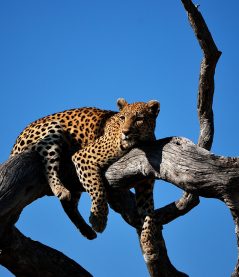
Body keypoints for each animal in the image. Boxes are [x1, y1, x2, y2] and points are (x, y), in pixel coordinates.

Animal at [11, 98, 161, 238]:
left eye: (139, 119)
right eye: (122, 118)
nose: (125, 132)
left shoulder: (145, 182)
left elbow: (148, 209)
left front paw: (148, 241)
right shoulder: (83, 157)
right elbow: (97, 188)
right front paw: (98, 220)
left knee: (69, 205)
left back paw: (86, 230)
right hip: (52, 130)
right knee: (48, 164)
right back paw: (60, 189)